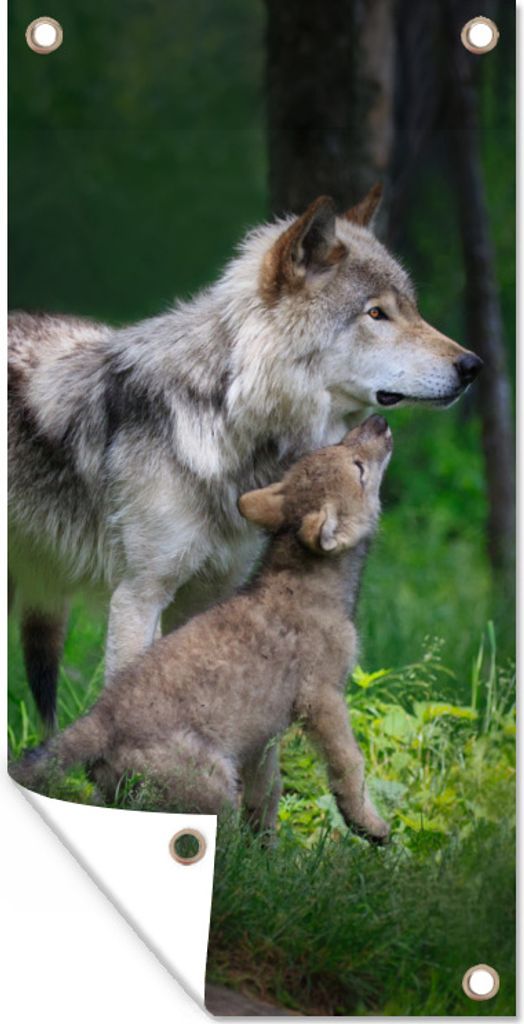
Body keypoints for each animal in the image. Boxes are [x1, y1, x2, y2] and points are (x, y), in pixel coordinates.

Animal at [9, 185, 482, 733]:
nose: (472, 366)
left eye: (412, 309)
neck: (226, 418)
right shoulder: (138, 596)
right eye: (376, 314)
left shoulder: (208, 593)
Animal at [12, 416, 393, 843]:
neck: (308, 582)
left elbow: (268, 791)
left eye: (340, 447)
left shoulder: (263, 735)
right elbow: (350, 765)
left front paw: (267, 849)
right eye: (359, 469)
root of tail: (100, 719)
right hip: (215, 787)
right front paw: (369, 825)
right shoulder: (323, 699)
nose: (379, 422)